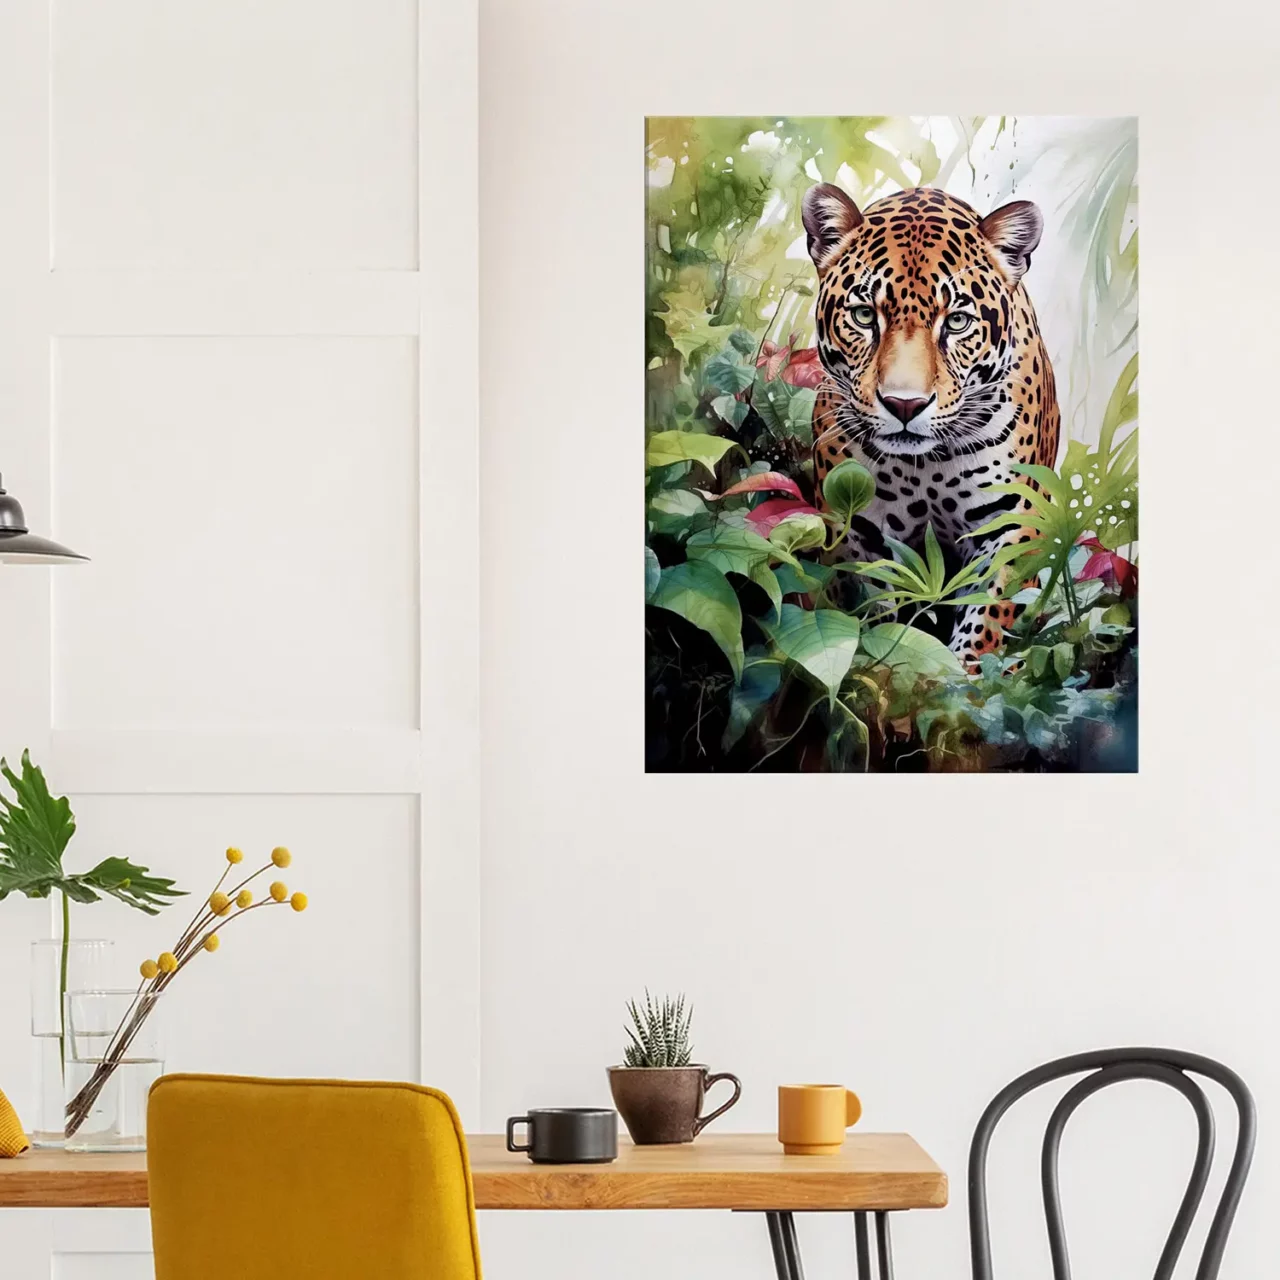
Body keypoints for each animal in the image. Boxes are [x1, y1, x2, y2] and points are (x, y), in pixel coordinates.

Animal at [801, 182, 1060, 665]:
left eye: (956, 321)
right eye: (864, 316)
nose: (905, 405)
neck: (927, 466)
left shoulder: (1014, 520)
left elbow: (987, 616)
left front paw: (963, 675)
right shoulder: (858, 525)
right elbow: (876, 604)